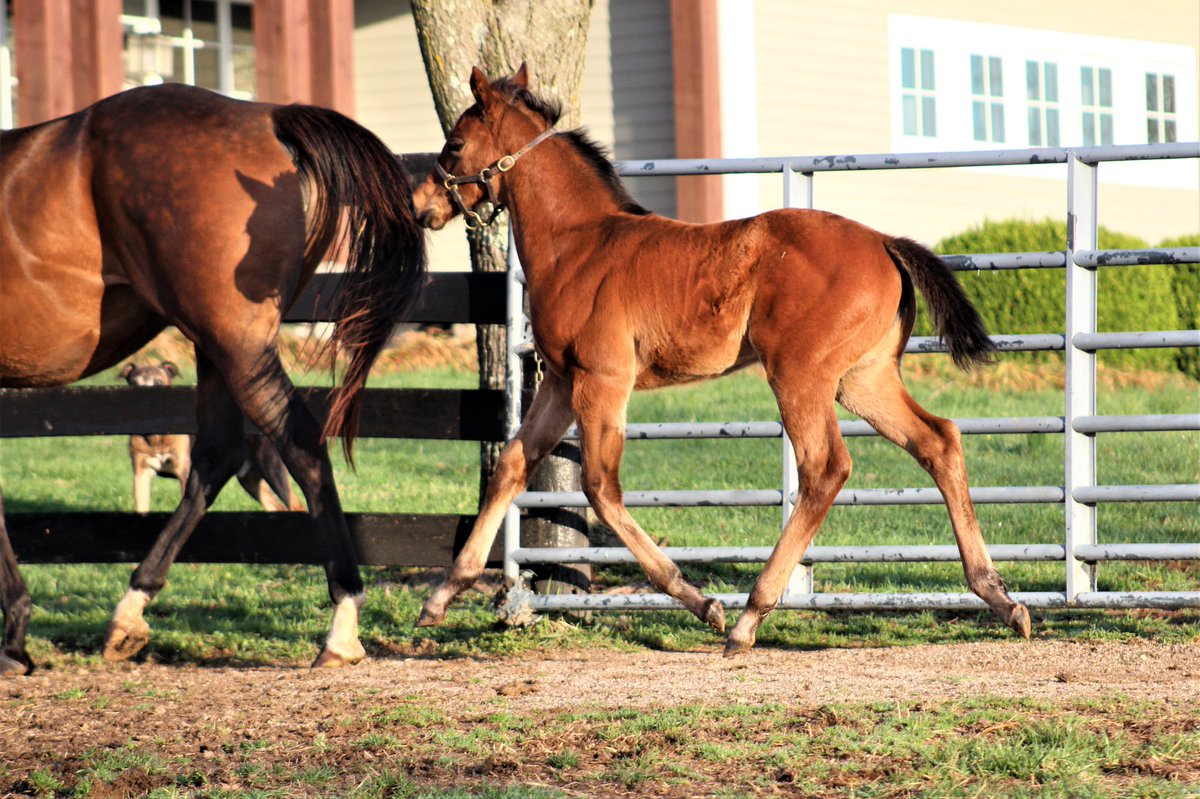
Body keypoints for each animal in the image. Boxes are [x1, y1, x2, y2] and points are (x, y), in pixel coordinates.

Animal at [0, 84, 426, 675]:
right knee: (217, 455)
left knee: (298, 442)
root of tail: (266, 115)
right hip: (215, 345)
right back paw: (130, 614)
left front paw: (13, 637)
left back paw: (341, 624)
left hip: (237, 346)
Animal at [410, 65, 1032, 655]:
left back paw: (748, 618)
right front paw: (440, 598)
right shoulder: (561, 381)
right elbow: (512, 466)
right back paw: (1000, 598)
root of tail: (883, 241)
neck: (580, 243)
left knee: (825, 468)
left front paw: (700, 601)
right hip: (863, 379)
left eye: (455, 144)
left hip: (799, 374)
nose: (421, 206)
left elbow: (599, 485)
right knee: (938, 440)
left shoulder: (601, 379)